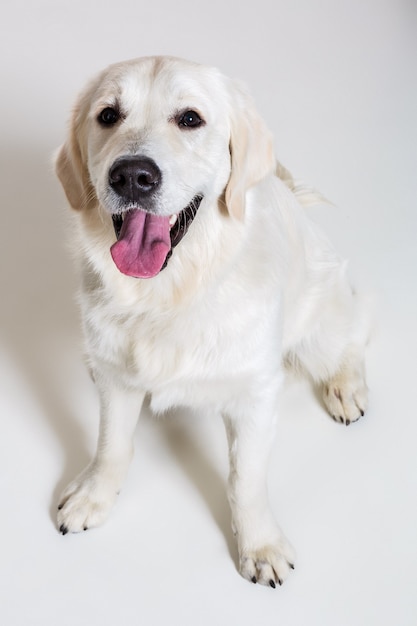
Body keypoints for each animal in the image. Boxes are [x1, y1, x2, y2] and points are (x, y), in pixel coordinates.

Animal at [54, 54, 368, 584]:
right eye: (108, 115)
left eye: (189, 119)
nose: (132, 176)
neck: (170, 295)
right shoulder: (116, 378)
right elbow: (111, 445)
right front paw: (94, 496)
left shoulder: (255, 395)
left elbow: (246, 480)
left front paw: (260, 545)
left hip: (322, 320)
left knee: (354, 334)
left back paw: (345, 386)